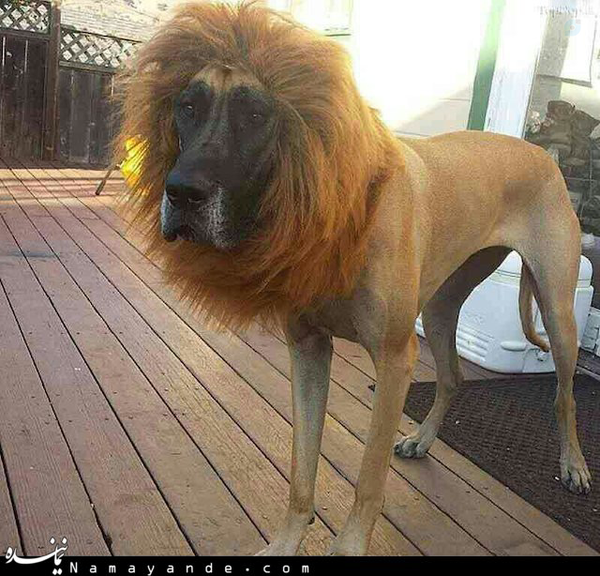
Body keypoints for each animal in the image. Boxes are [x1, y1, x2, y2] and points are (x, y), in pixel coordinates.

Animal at [115, 1, 591, 556]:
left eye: (256, 116)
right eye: (186, 107)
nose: (182, 192)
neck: (342, 210)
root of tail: (541, 154)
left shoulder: (394, 358)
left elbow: (367, 480)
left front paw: (348, 544)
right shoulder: (308, 348)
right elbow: (302, 469)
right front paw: (286, 540)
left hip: (556, 310)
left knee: (565, 394)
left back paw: (574, 465)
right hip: (441, 307)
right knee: (452, 376)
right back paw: (423, 439)